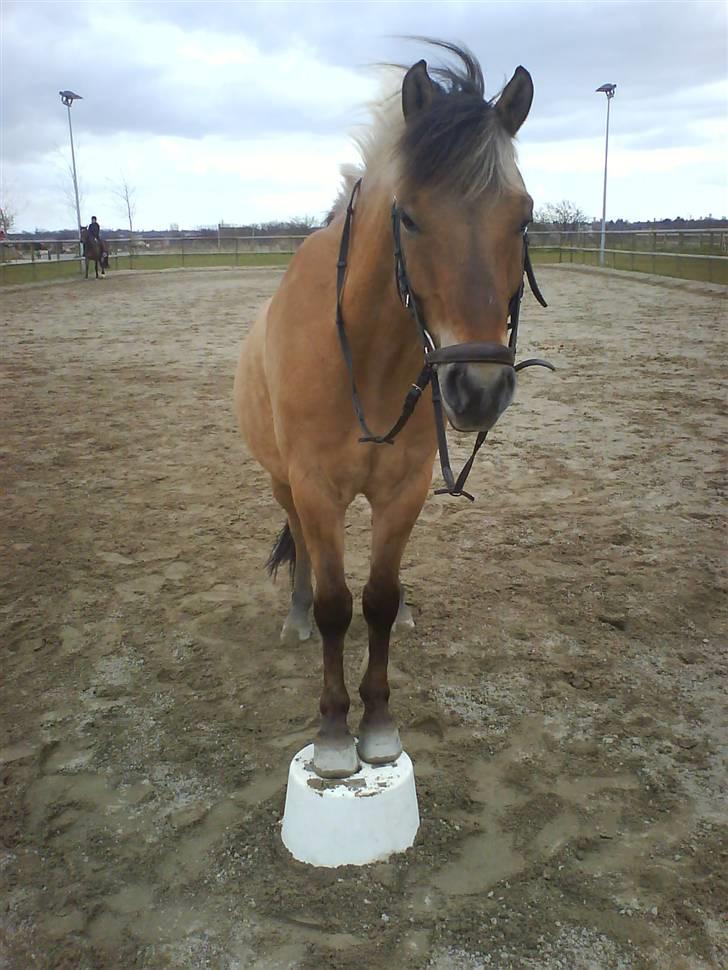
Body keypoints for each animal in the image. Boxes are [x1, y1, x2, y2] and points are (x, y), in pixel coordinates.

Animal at [234, 41, 550, 779]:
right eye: (408, 215)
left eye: (523, 215)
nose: (479, 389)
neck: (366, 355)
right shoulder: (316, 489)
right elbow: (334, 605)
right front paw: (332, 737)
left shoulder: (404, 490)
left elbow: (374, 601)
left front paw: (377, 727)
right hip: (283, 483)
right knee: (303, 555)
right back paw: (293, 615)